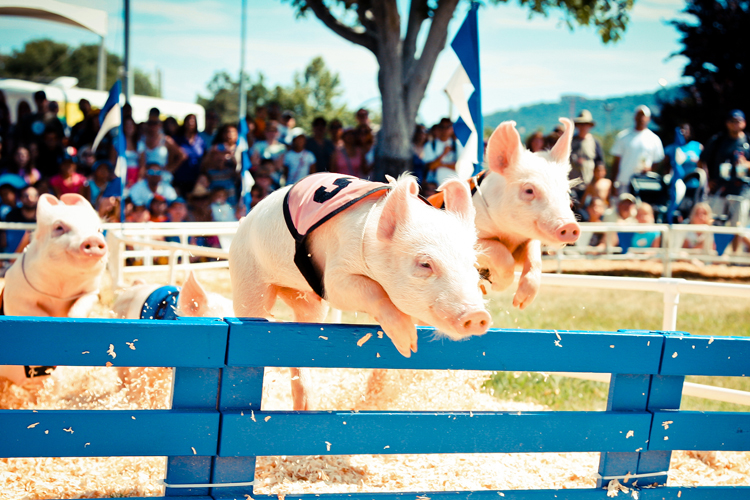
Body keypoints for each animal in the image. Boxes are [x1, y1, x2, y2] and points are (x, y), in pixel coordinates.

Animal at [230, 173, 491, 410]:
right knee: (252, 310)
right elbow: (367, 290)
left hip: (311, 304)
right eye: (425, 264)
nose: (478, 315)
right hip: (247, 275)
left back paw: (306, 407)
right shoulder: (335, 274)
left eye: (473, 264)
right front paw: (408, 345)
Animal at [471, 118, 580, 309]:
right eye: (529, 190)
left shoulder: (529, 240)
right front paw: (498, 286)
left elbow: (535, 260)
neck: (510, 235)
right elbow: (501, 253)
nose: (570, 225)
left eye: (566, 191)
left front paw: (520, 303)